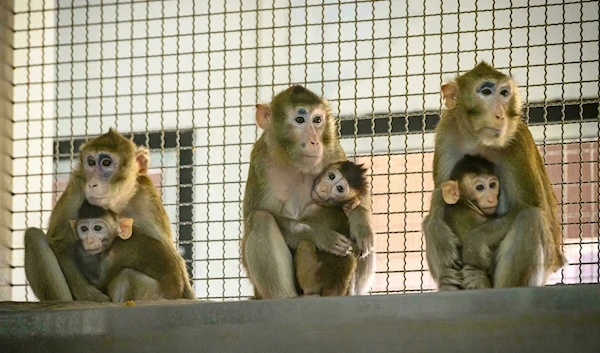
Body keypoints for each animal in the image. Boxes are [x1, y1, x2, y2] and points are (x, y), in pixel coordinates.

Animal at [25, 129, 195, 300]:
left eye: (106, 163)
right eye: (91, 162)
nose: (92, 183)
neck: (116, 203)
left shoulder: (147, 198)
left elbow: (171, 255)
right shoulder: (76, 190)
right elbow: (60, 245)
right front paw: (93, 298)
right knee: (33, 236)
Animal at [294, 161, 368, 296]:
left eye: (339, 188)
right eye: (332, 176)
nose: (324, 188)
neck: (335, 206)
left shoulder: (310, 209)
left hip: (312, 278)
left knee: (305, 243)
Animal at [424, 62, 564, 290]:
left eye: (504, 93)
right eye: (486, 92)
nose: (500, 114)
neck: (478, 141)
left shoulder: (517, 142)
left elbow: (537, 209)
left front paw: (475, 242)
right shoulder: (447, 133)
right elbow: (441, 199)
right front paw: (438, 231)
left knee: (530, 217)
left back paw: (486, 284)